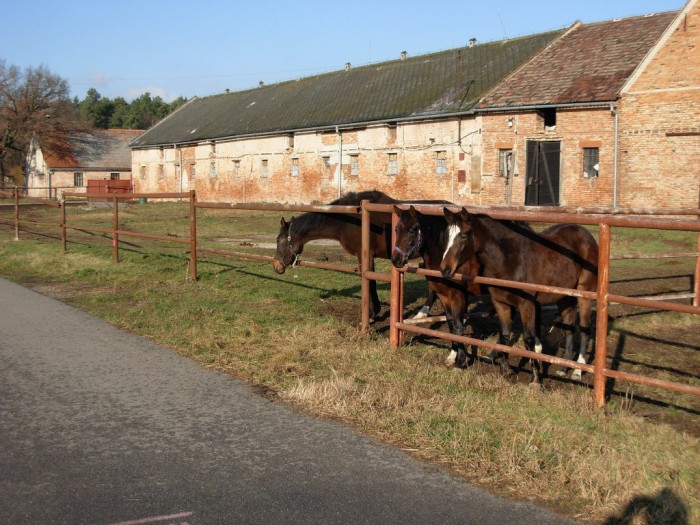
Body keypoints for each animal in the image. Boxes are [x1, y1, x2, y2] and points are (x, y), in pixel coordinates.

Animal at [270, 188, 434, 320]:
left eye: (278, 240)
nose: (276, 266)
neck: (351, 221)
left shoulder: (365, 255)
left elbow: (369, 280)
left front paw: (372, 314)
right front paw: (375, 311)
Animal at [392, 203, 484, 366]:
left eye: (412, 230)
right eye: (396, 229)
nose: (396, 259)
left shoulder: (458, 294)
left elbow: (458, 323)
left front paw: (460, 359)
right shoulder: (444, 295)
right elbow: (451, 323)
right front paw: (452, 355)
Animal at [442, 207, 596, 382]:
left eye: (464, 235)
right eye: (446, 235)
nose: (445, 269)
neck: (509, 260)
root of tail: (585, 234)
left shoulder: (526, 305)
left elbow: (529, 339)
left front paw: (535, 380)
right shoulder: (500, 303)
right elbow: (504, 336)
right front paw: (504, 371)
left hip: (585, 295)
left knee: (585, 329)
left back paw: (577, 371)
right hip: (565, 297)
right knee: (569, 327)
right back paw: (563, 369)